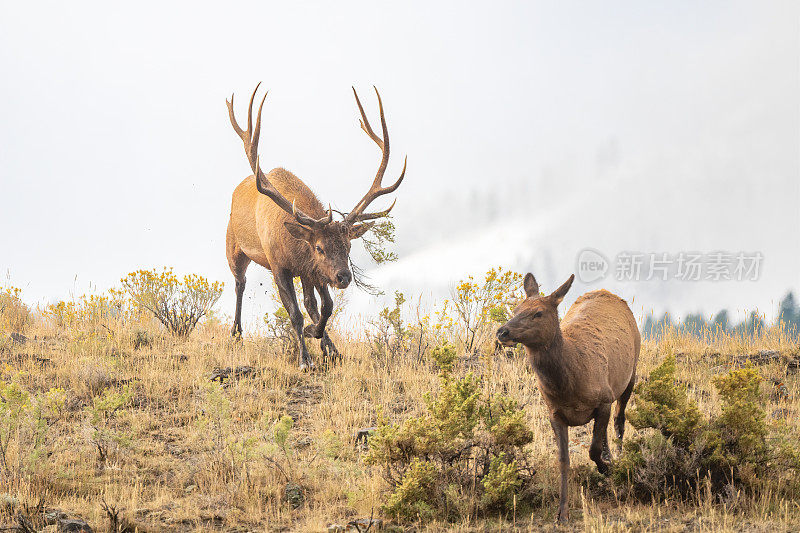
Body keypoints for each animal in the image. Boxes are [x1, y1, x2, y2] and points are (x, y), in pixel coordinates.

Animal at [225, 85, 406, 370]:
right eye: (319, 247)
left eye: (348, 247)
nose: (344, 277)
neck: (294, 247)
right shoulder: (279, 266)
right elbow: (295, 314)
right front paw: (305, 359)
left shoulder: (314, 271)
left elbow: (325, 307)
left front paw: (321, 340)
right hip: (234, 247)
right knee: (239, 284)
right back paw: (236, 334)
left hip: (306, 273)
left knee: (312, 304)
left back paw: (330, 347)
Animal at [496, 272, 640, 520]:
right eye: (516, 309)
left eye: (538, 313)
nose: (502, 331)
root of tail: (607, 292)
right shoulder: (555, 413)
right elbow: (564, 460)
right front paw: (561, 512)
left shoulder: (603, 399)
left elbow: (592, 450)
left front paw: (607, 469)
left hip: (631, 372)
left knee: (619, 420)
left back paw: (619, 459)